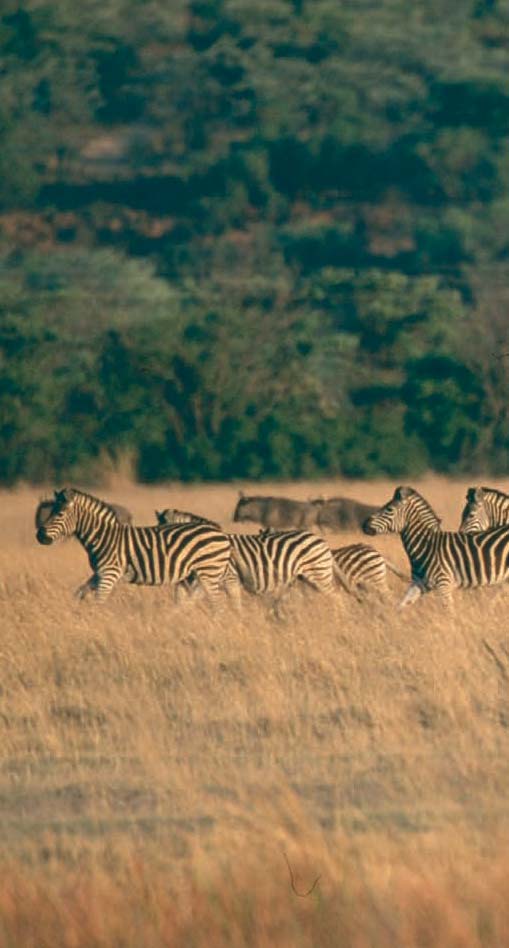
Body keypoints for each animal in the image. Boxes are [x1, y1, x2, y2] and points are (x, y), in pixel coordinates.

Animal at [36, 486, 231, 604]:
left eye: (59, 514)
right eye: (50, 512)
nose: (39, 536)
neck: (103, 537)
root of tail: (220, 533)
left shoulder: (109, 573)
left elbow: (99, 601)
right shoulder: (99, 573)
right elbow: (80, 592)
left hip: (208, 572)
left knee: (218, 603)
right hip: (195, 575)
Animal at [364, 482, 509, 608]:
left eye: (389, 509)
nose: (364, 524)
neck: (426, 545)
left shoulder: (443, 584)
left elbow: (449, 613)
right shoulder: (418, 584)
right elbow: (400, 606)